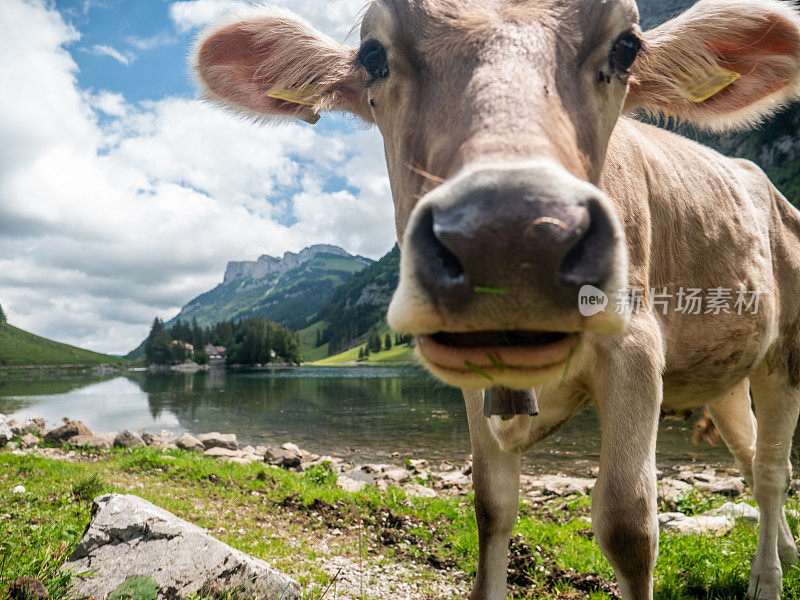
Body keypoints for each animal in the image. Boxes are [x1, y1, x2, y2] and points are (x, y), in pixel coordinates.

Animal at [194, 2, 800, 596]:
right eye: (373, 56)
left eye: (627, 47)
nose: (510, 236)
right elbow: (491, 505)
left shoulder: (635, 347)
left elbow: (628, 524)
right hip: (724, 376)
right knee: (750, 456)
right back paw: (785, 554)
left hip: (785, 354)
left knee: (773, 470)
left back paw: (768, 579)